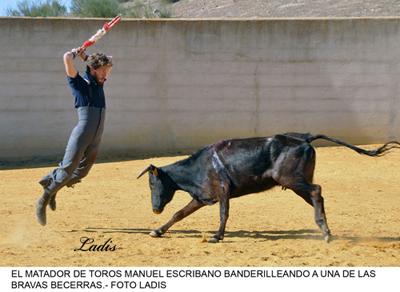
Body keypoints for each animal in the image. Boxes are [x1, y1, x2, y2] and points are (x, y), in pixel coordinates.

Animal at [137, 133, 396, 243]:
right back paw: (326, 231)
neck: (200, 165)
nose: (155, 209)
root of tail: (304, 139)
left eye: (152, 182)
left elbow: (223, 214)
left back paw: (324, 232)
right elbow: (179, 214)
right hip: (295, 183)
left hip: (292, 179)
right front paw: (157, 231)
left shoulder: (223, 191)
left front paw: (217, 237)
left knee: (316, 191)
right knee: (317, 196)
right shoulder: (202, 198)